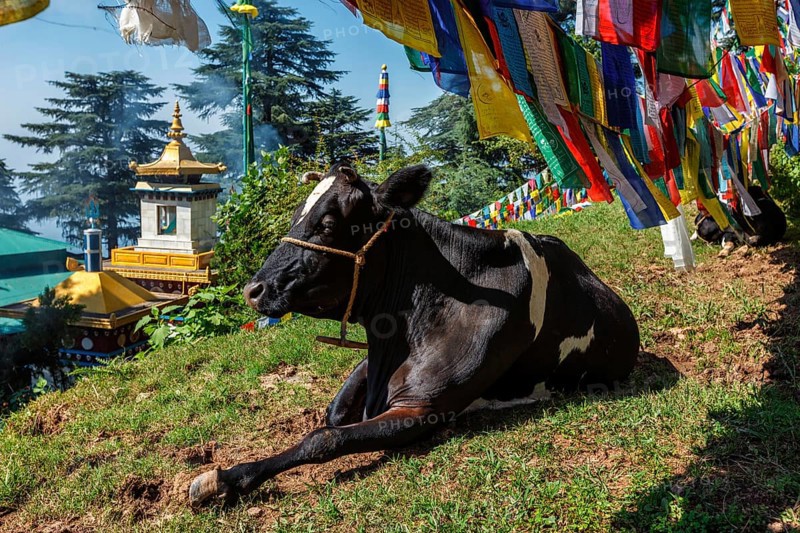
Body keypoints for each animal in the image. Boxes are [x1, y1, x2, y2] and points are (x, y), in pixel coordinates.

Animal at [189, 163, 640, 505]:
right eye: (297, 214)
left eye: (328, 223)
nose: (253, 289)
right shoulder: (370, 363)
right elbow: (333, 415)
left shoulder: (420, 407)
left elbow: (323, 439)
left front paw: (225, 478)